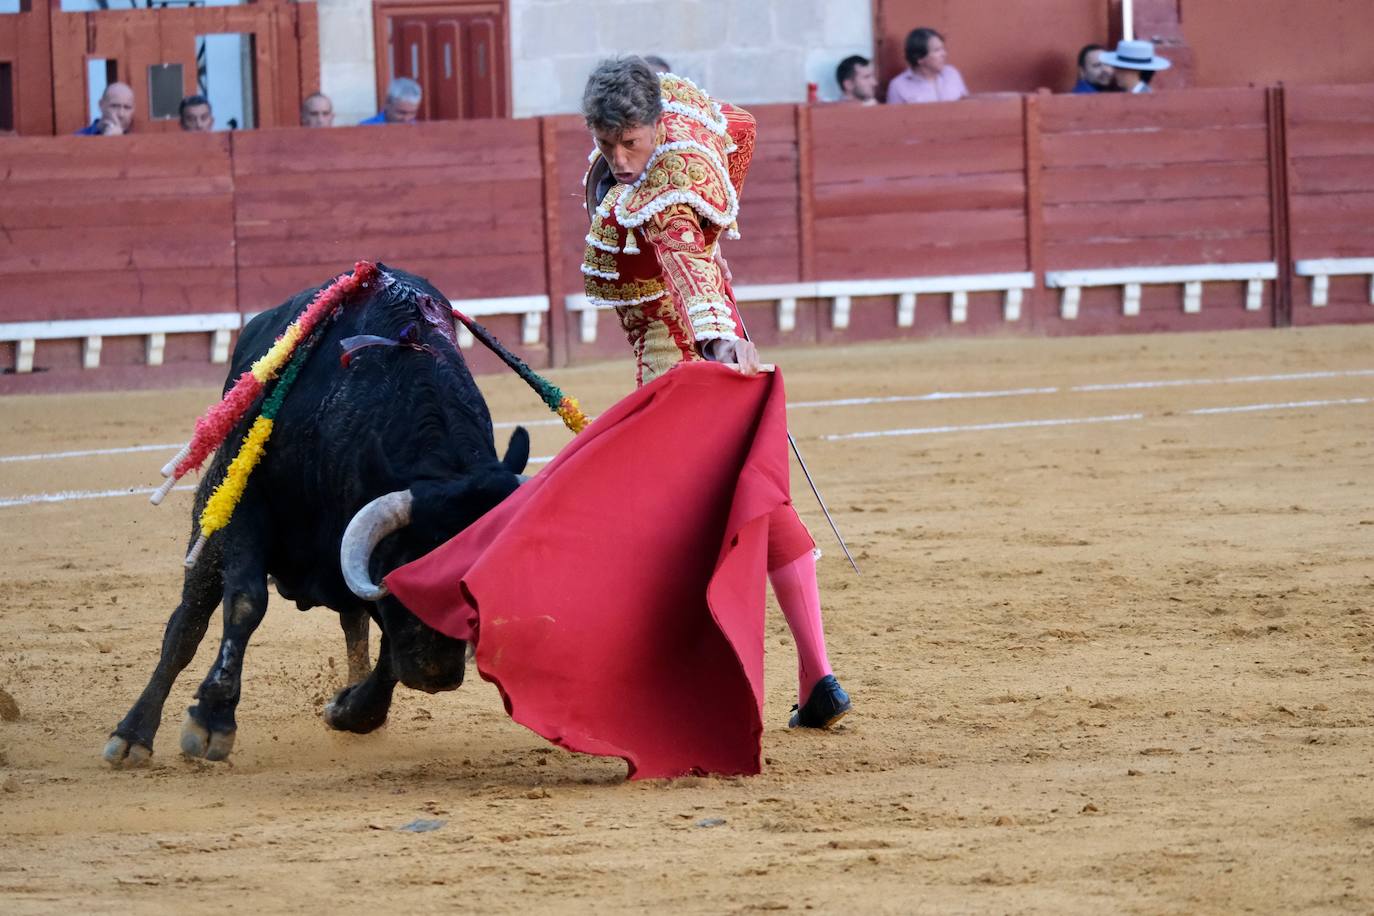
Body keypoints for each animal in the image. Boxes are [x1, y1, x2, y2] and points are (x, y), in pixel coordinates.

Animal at [101, 263, 527, 769]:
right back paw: (132, 736)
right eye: (410, 572)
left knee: (354, 626)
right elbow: (245, 602)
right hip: (214, 512)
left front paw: (350, 710)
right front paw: (211, 721)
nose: (437, 674)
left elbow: (386, 651)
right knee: (187, 624)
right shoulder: (248, 507)